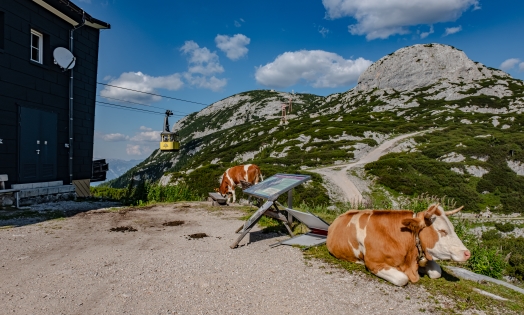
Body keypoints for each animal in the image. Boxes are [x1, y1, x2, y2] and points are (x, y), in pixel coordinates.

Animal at [328, 204, 470, 288]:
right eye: (442, 231)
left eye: (453, 228)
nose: (467, 253)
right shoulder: (373, 263)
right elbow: (402, 278)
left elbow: (436, 271)